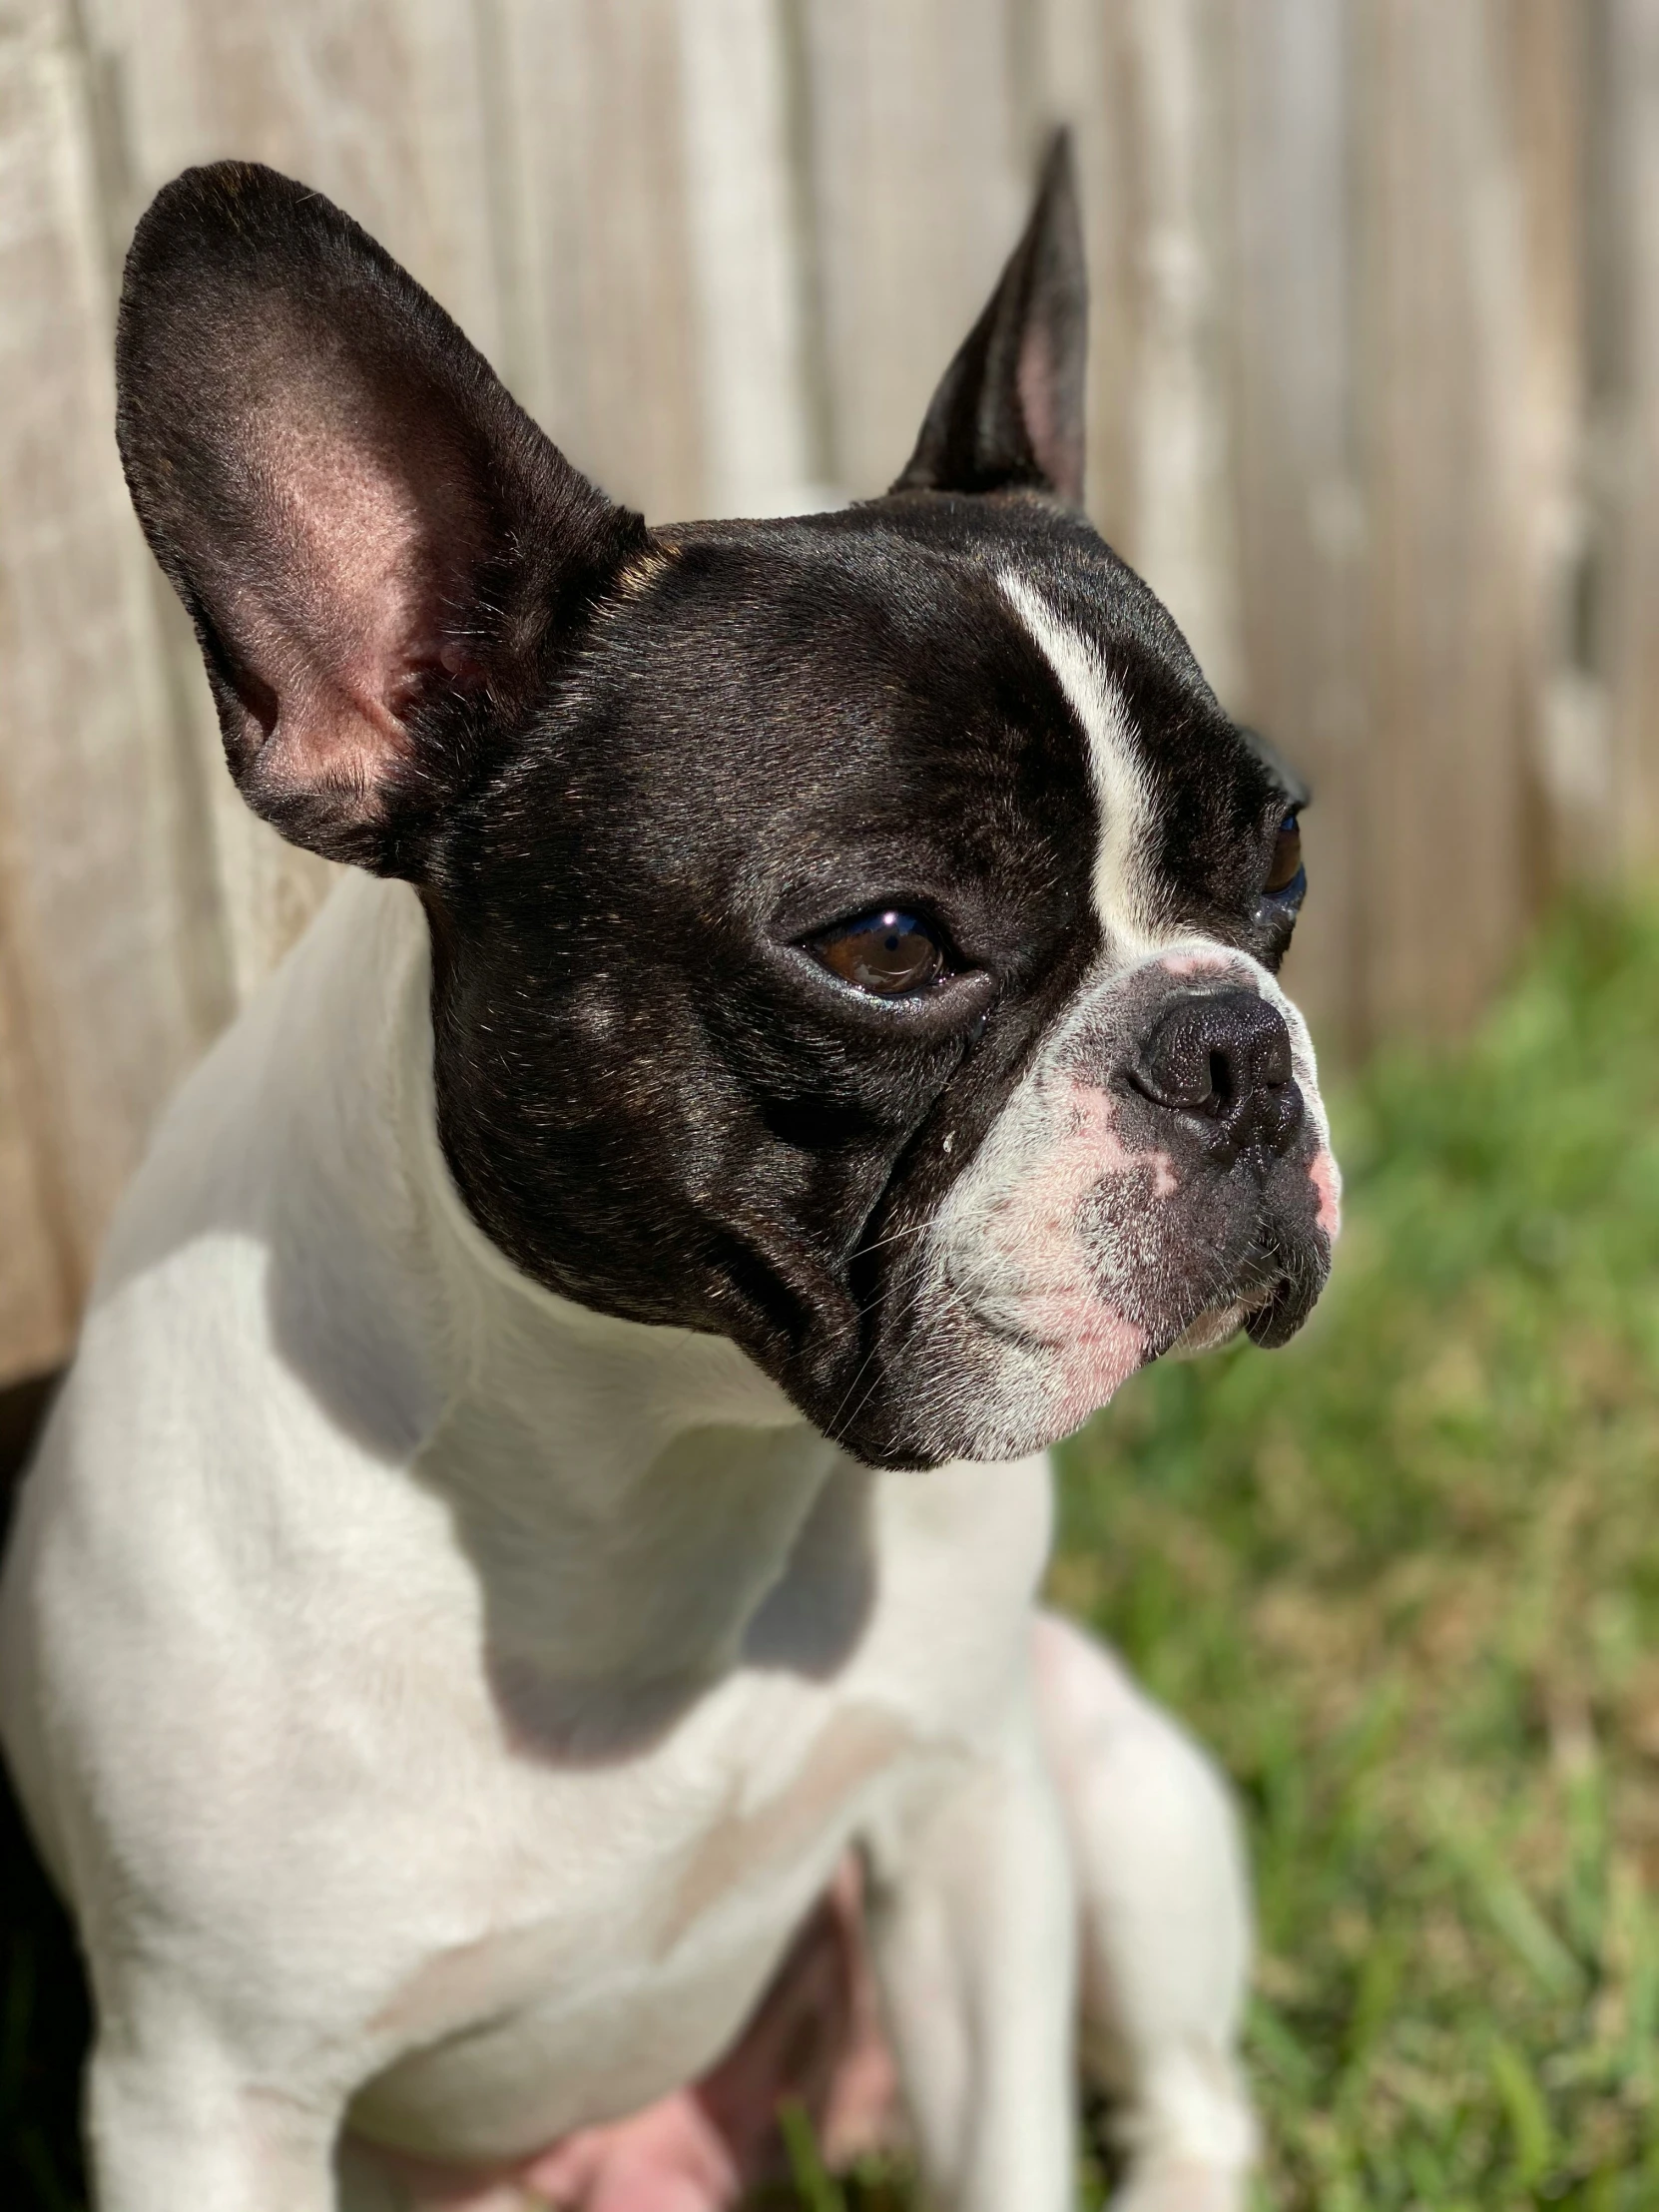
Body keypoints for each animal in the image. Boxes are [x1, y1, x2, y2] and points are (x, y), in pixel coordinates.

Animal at [0, 142, 1336, 2212]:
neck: (652, 1452)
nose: (1231, 1045)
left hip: (1097, 1765)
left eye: (1275, 860)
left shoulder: (970, 1819)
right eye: (887, 942)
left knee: (1191, 2091)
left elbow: (1013, 2145)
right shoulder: (200, 2089)